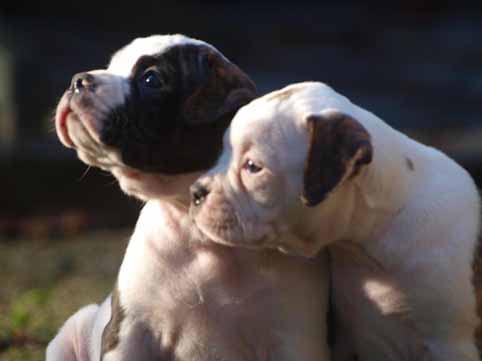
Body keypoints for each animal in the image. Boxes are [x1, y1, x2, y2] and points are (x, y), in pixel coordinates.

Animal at [47, 34, 332, 360]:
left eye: (151, 79)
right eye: (110, 65)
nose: (78, 80)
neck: (197, 232)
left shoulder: (295, 339)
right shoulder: (130, 331)